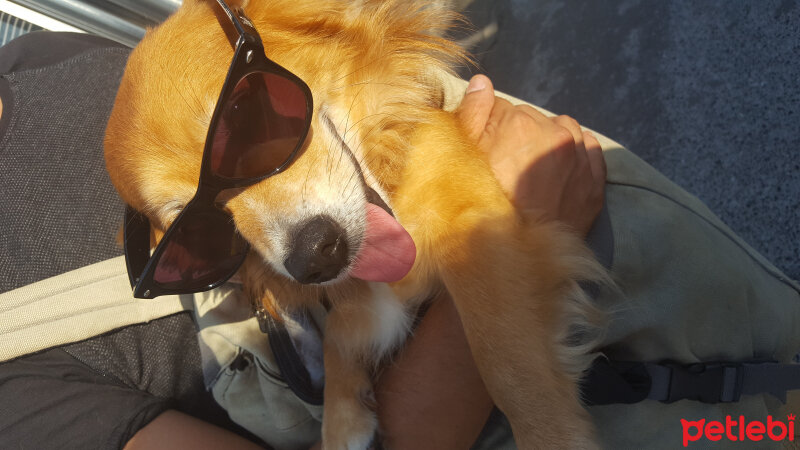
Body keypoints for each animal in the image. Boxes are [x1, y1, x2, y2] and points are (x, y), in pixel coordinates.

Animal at [104, 1, 608, 448]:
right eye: (199, 229)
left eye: (246, 119)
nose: (314, 257)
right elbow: (340, 331)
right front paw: (341, 417)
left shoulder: (478, 227)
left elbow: (508, 362)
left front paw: (553, 436)